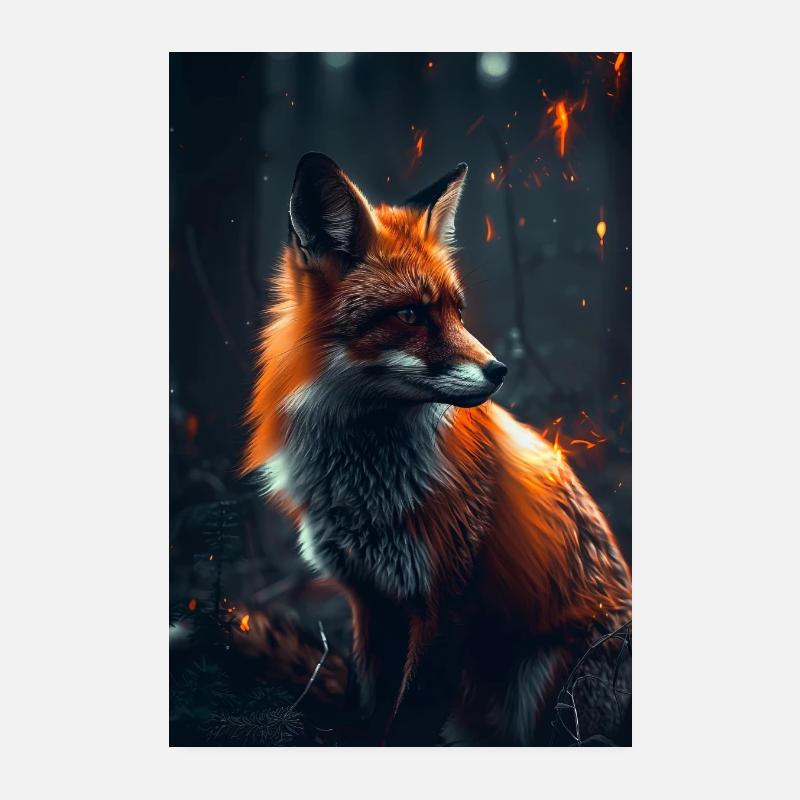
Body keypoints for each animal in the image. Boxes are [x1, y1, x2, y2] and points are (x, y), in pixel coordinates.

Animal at [242, 152, 632, 745]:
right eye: (411, 315)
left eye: (457, 312)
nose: (499, 370)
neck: (364, 484)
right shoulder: (368, 599)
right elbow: (371, 710)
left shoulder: (446, 603)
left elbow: (407, 720)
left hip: (545, 683)